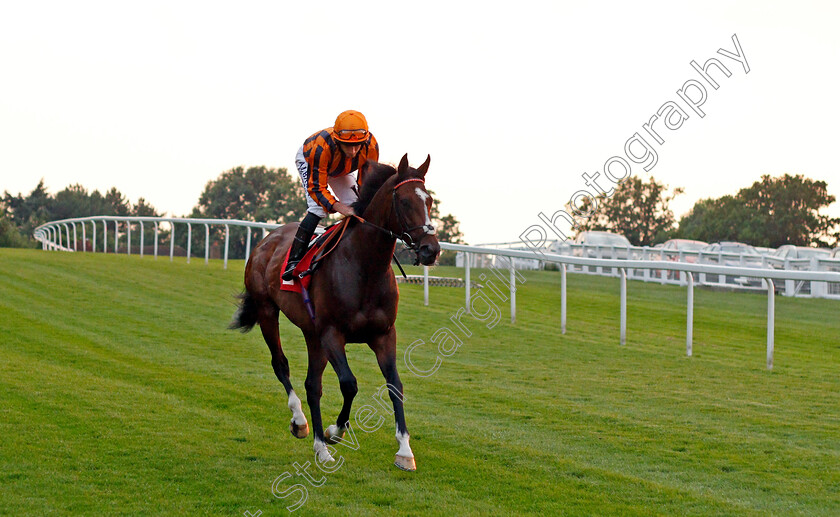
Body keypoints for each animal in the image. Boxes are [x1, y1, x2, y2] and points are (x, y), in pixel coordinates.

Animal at [230, 151, 440, 470]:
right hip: (268, 312)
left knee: (312, 385)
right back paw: (301, 423)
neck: (365, 267)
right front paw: (334, 431)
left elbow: (395, 385)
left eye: (428, 201)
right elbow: (349, 384)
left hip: (311, 333)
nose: (431, 249)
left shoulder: (383, 334)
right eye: (404, 202)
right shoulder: (332, 334)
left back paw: (319, 446)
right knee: (281, 365)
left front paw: (405, 450)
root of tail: (267, 240)